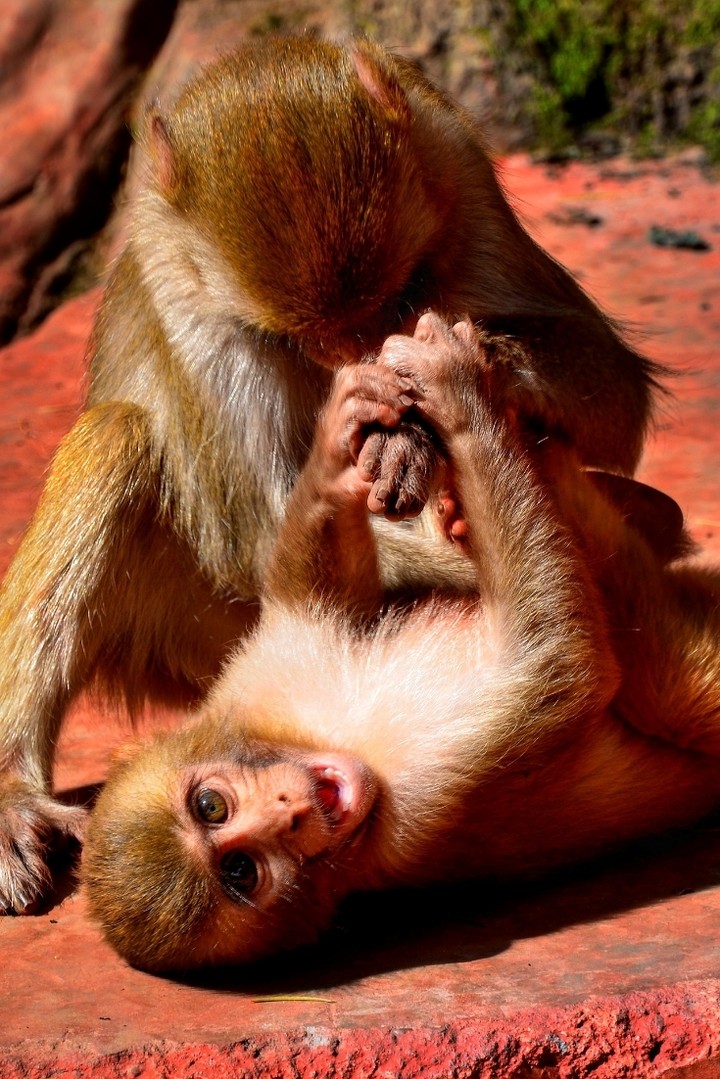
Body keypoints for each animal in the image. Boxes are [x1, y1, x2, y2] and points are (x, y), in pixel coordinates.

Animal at [0, 36, 661, 914]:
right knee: (120, 437)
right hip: (196, 633)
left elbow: (617, 400)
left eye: (399, 296)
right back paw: (13, 790)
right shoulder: (185, 291)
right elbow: (254, 532)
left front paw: (439, 397)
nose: (361, 352)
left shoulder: (455, 168)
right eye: (296, 337)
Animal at [83, 312, 720, 974]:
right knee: (658, 672)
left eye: (211, 806)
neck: (333, 739)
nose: (291, 813)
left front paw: (342, 437)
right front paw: (463, 404)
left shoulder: (260, 672)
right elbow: (562, 662)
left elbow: (326, 593)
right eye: (242, 871)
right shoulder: (418, 795)